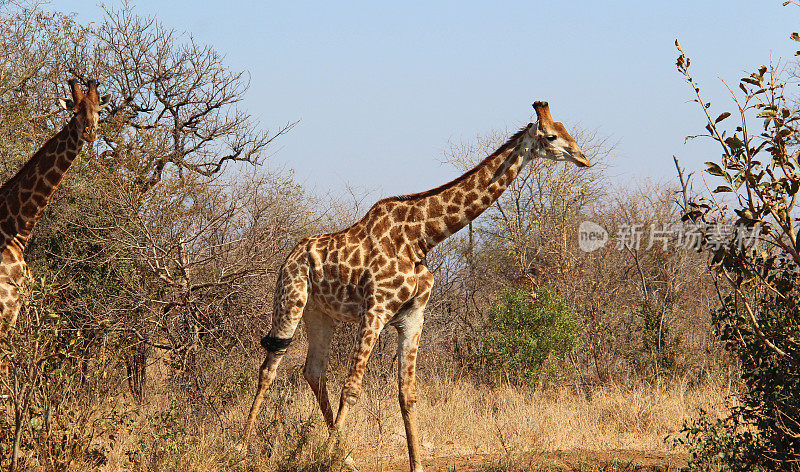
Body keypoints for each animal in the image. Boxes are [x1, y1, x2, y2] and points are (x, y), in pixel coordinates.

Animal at [0, 78, 109, 380]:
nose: (90, 133)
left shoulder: (15, 305)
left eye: (99, 111)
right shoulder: (6, 303)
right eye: (75, 111)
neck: (16, 227)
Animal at [238, 100, 588, 472]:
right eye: (551, 136)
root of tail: (290, 255)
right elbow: (353, 386)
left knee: (313, 371)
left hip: (320, 314)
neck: (421, 239)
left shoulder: (413, 317)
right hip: (290, 299)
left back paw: (347, 457)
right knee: (269, 369)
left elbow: (408, 393)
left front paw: (414, 464)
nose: (583, 158)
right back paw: (241, 448)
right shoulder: (375, 310)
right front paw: (321, 459)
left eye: (567, 130)